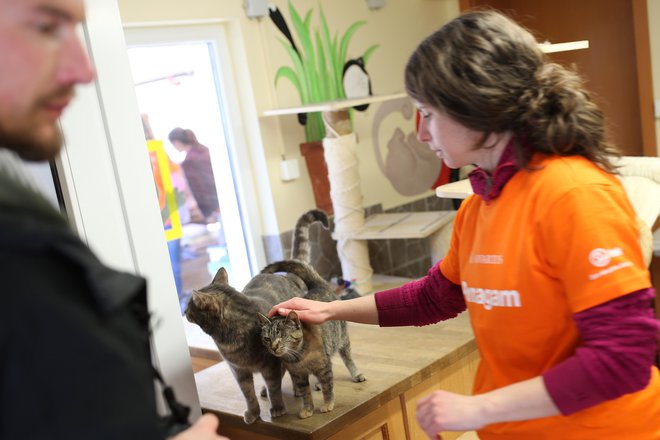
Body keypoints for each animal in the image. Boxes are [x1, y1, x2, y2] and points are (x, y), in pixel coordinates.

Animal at [183, 210, 328, 422]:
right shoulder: (238, 371)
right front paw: (253, 413)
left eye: (188, 305)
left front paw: (277, 408)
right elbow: (248, 394)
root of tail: (286, 276)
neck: (229, 338)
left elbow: (275, 387)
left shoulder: (271, 365)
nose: (183, 311)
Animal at [256, 262, 366, 420]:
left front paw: (327, 404)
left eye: (283, 336)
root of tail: (318, 286)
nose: (274, 347)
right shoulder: (298, 376)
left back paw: (356, 374)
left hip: (342, 339)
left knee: (348, 358)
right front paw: (308, 409)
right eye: (267, 338)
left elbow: (328, 387)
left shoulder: (324, 367)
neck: (298, 357)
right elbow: (306, 394)